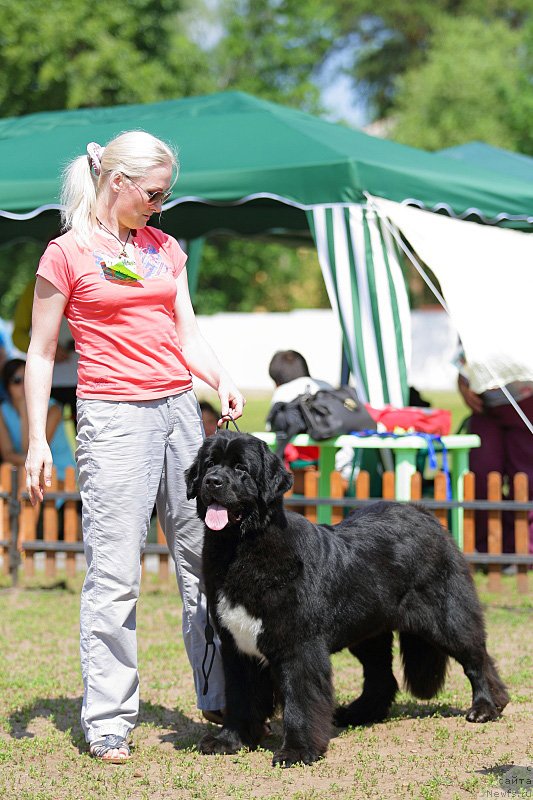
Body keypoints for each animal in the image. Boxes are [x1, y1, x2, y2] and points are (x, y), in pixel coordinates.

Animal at [186, 432, 508, 768]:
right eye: (209, 464)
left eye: (241, 469)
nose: (212, 481)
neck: (239, 548)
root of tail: (424, 513)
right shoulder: (237, 647)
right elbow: (240, 696)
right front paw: (229, 740)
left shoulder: (298, 647)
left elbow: (299, 699)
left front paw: (297, 751)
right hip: (368, 629)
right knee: (381, 677)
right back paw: (359, 713)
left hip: (446, 617)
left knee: (476, 657)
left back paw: (486, 706)